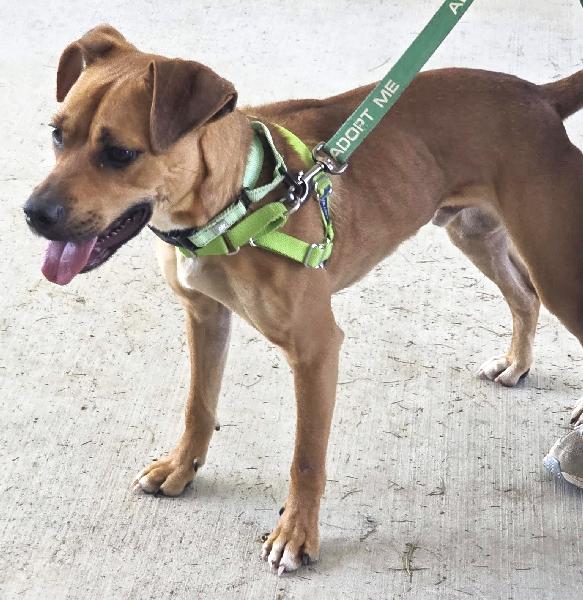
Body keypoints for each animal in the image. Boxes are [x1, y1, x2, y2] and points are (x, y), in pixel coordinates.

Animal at [24, 24, 583, 574]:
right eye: (56, 134)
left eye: (120, 154)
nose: (33, 214)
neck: (237, 199)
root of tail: (538, 94)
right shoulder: (204, 316)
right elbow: (198, 405)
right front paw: (182, 468)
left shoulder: (315, 351)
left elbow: (306, 458)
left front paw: (297, 535)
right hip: (474, 233)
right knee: (523, 296)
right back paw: (517, 363)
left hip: (559, 271)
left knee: (540, 295)